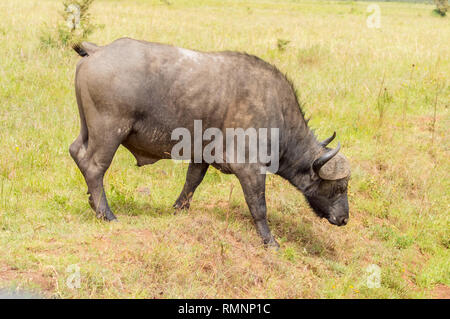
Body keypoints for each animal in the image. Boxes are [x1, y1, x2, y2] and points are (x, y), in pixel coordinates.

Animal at [71, 37, 352, 248]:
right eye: (338, 187)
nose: (344, 219)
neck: (277, 112)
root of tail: (98, 50)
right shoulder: (250, 169)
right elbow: (259, 205)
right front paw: (270, 241)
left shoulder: (202, 156)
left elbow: (191, 182)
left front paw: (179, 209)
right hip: (110, 131)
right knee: (93, 166)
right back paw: (106, 213)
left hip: (88, 128)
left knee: (76, 151)